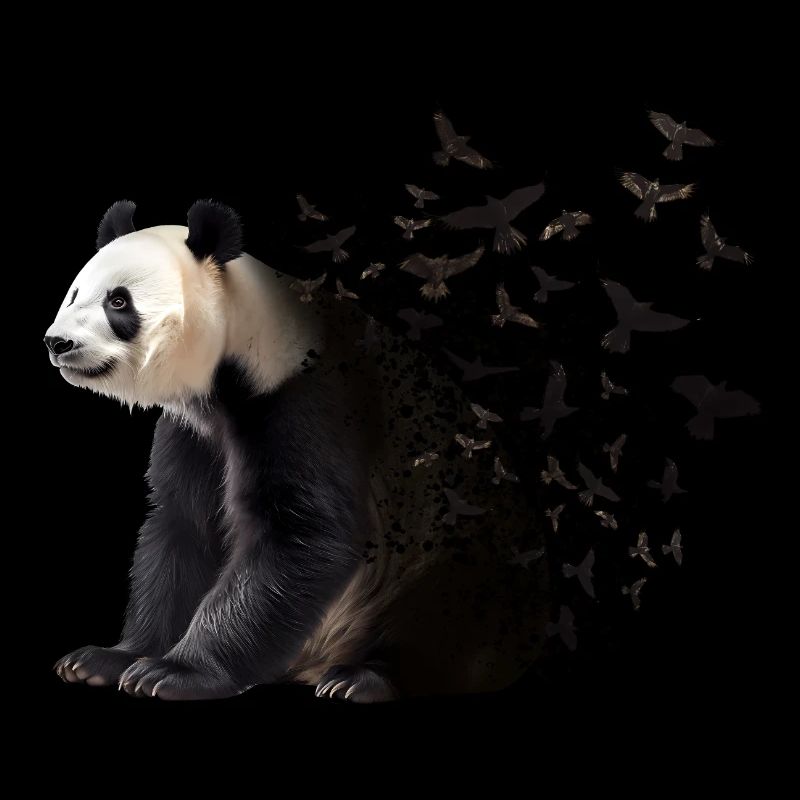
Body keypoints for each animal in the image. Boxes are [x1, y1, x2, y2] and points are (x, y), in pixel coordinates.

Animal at [46, 200, 551, 702]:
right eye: (74, 294)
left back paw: (363, 678)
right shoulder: (195, 432)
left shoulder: (312, 400)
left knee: (447, 608)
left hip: (459, 546)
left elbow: (303, 533)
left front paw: (174, 672)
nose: (58, 342)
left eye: (118, 301)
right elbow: (183, 528)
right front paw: (110, 659)